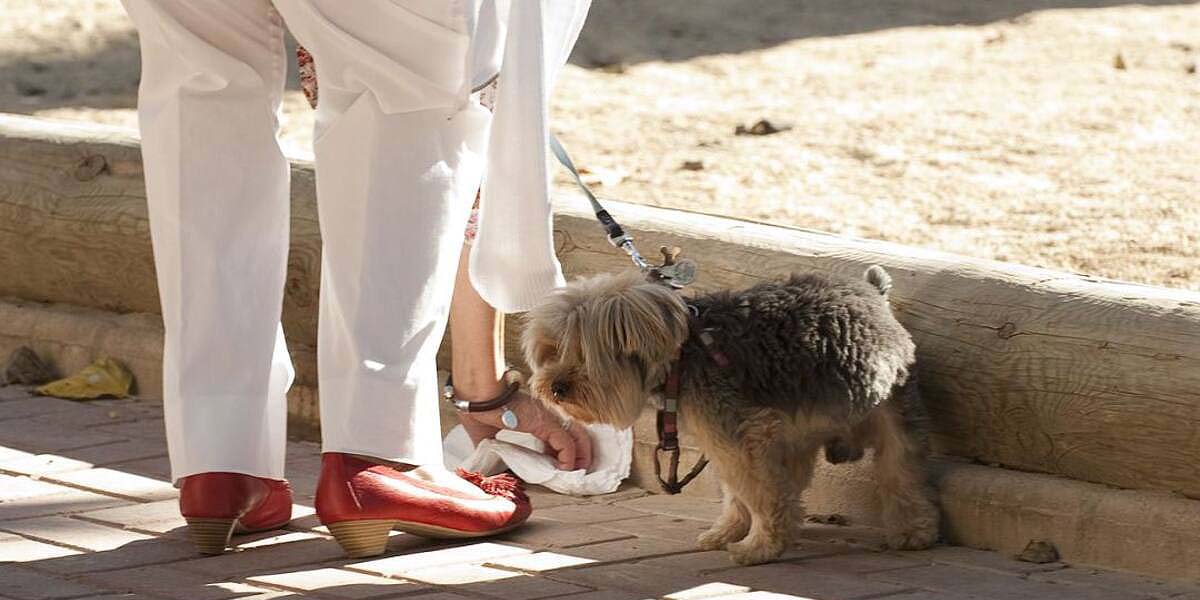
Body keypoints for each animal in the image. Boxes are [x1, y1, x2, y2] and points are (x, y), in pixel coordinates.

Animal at [523, 265, 936, 564]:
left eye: (583, 354)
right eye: (551, 350)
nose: (555, 387)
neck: (681, 357)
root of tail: (874, 293)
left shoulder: (743, 438)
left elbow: (761, 493)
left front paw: (760, 546)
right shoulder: (734, 439)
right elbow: (740, 492)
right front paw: (731, 531)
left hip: (893, 412)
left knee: (902, 469)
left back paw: (914, 531)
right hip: (801, 431)